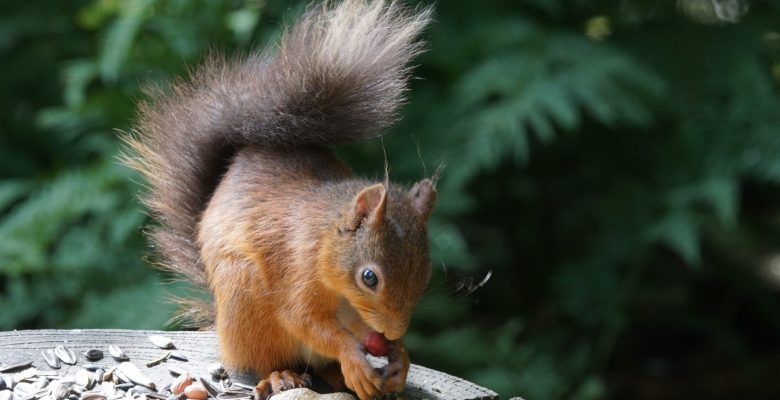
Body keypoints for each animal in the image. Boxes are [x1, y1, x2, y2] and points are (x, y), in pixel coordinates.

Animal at [125, 1, 436, 398]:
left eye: (426, 275)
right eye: (369, 278)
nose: (394, 332)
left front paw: (399, 358)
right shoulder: (296, 268)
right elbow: (302, 319)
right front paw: (353, 357)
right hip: (246, 300)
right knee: (266, 359)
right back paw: (281, 375)